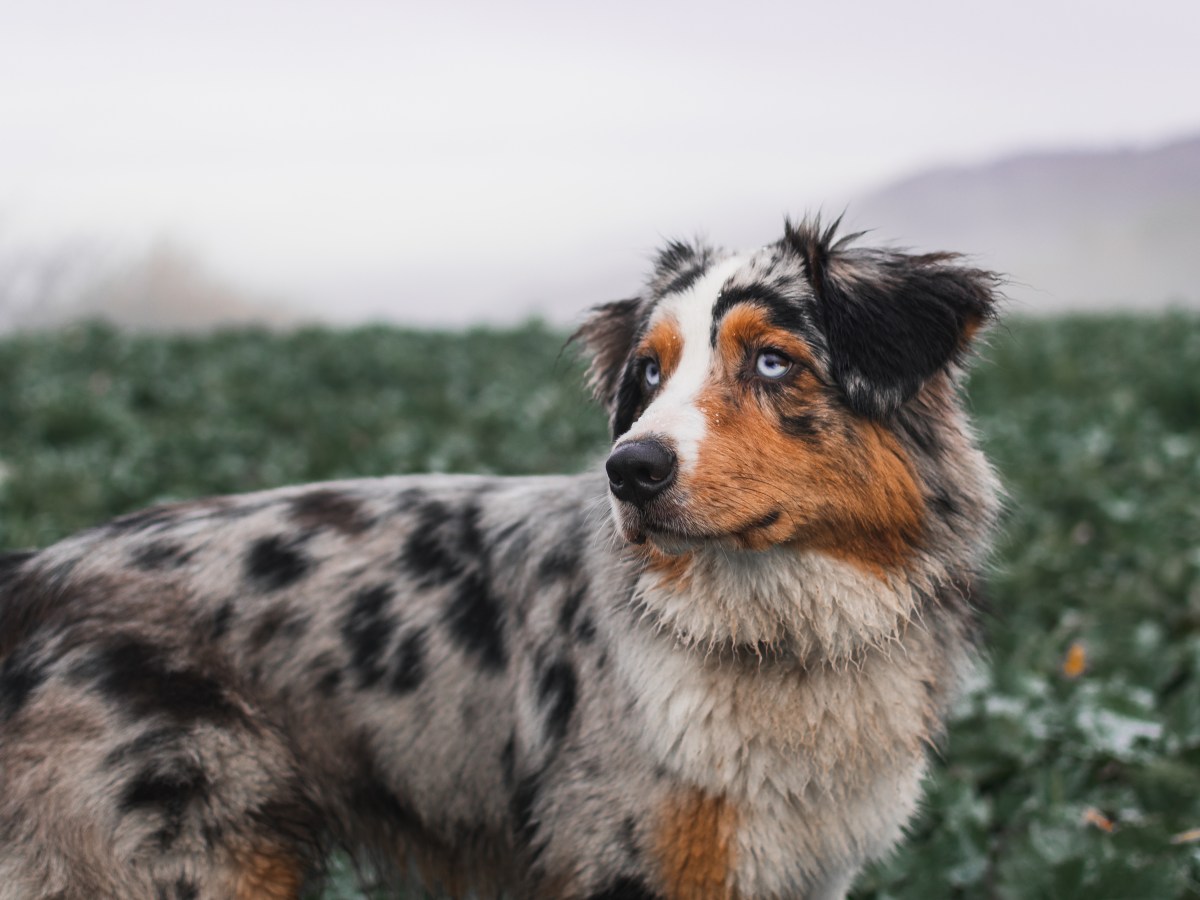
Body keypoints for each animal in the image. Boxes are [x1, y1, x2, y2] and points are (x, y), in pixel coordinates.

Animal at [0, 220, 998, 900]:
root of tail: (34, 571)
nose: (630, 469)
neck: (779, 630)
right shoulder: (625, 857)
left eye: (772, 362)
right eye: (647, 373)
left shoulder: (799, 862)